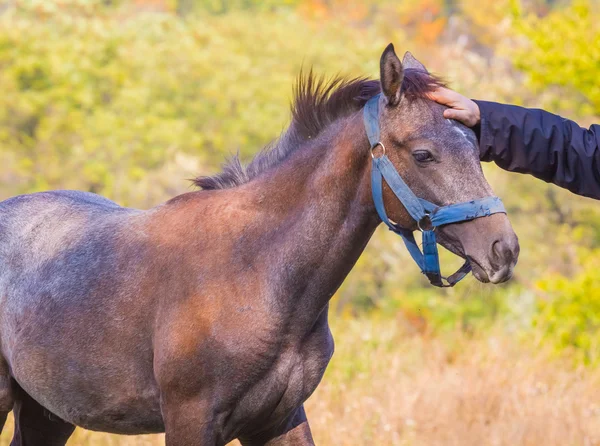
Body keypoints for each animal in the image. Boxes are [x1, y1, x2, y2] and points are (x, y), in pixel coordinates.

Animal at [0, 42, 516, 446]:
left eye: (475, 145)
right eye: (424, 154)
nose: (503, 249)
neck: (256, 271)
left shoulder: (279, 418)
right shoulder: (189, 422)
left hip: (48, 412)